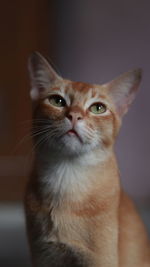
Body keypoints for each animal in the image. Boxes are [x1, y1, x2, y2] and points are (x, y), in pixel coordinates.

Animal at [24, 51, 150, 266]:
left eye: (98, 108)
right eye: (57, 101)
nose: (74, 115)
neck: (67, 178)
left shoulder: (99, 259)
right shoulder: (42, 256)